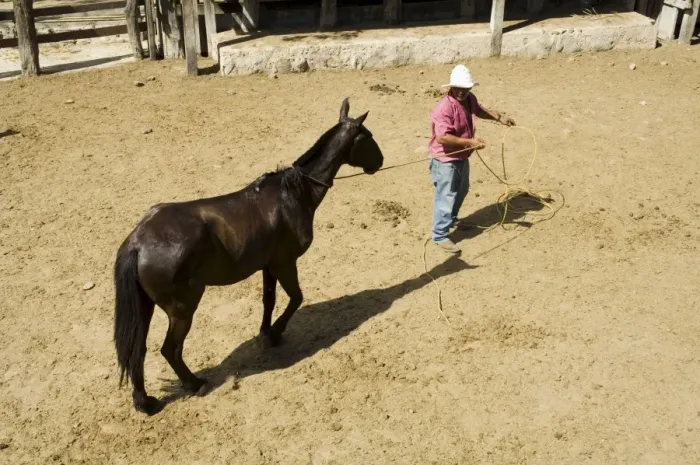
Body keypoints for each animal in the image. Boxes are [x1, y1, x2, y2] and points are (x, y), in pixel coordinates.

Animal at [113, 98, 384, 415]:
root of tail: (138, 241)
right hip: (182, 308)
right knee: (170, 349)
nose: (379, 161)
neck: (294, 194)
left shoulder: (269, 265)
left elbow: (269, 300)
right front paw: (275, 333)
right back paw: (194, 384)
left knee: (137, 349)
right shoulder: (285, 263)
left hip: (145, 307)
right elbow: (296, 298)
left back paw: (145, 402)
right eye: (367, 137)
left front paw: (266, 332)